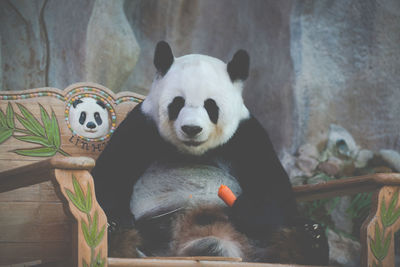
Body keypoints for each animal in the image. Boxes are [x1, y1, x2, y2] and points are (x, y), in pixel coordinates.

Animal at [92, 40, 330, 264]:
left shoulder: (247, 135)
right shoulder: (141, 127)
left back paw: (310, 239)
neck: (193, 151)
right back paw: (118, 233)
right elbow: (108, 175)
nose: (191, 128)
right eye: (177, 103)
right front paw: (115, 217)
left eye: (210, 106)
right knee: (120, 234)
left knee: (292, 230)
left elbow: (273, 185)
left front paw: (246, 209)